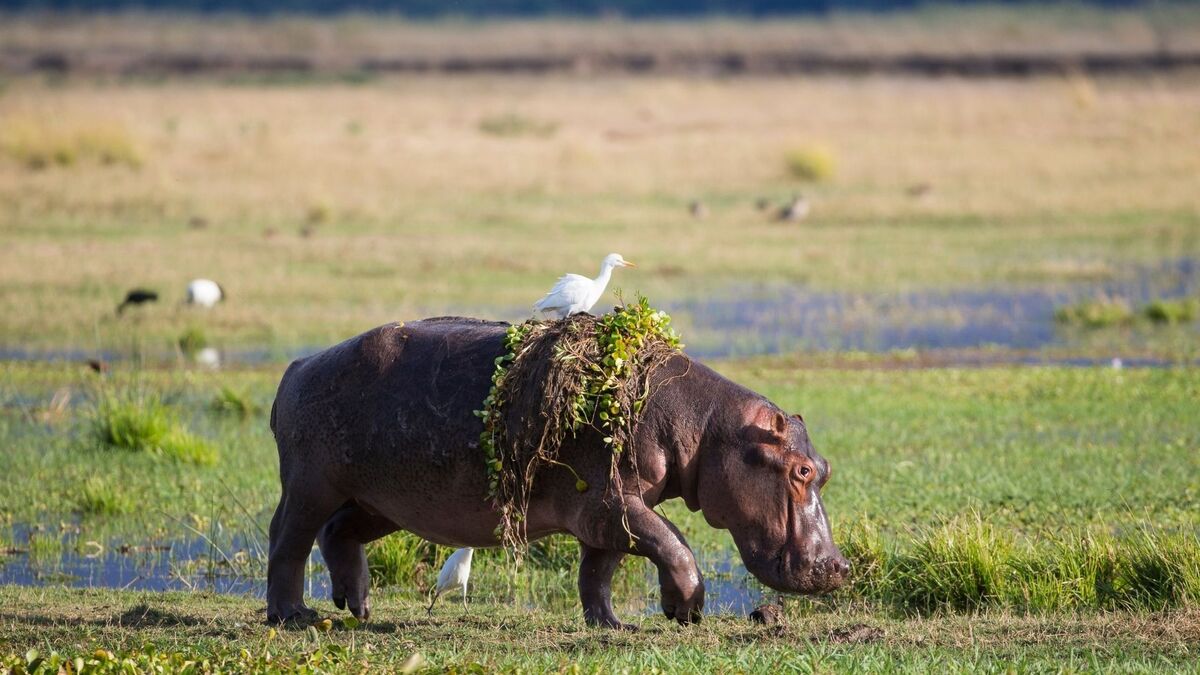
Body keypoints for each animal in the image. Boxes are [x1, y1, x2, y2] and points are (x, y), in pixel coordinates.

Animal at [270, 314, 854, 624]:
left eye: (824, 468)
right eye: (801, 471)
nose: (839, 567)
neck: (709, 426)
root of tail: (297, 365)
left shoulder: (609, 510)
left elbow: (599, 569)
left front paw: (612, 625)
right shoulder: (611, 500)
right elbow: (674, 544)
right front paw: (684, 612)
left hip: (383, 500)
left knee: (339, 532)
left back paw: (359, 607)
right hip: (310, 484)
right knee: (288, 538)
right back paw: (296, 616)